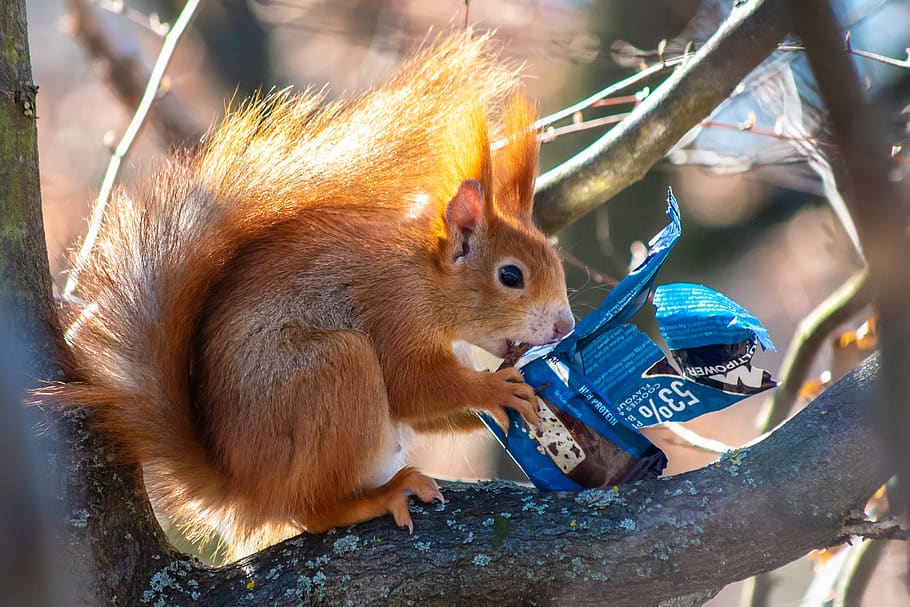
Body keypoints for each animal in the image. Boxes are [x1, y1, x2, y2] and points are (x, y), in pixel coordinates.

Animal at [54, 32, 574, 560]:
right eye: (510, 276)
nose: (566, 327)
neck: (425, 280)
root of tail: (245, 492)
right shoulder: (390, 311)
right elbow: (412, 386)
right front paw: (494, 389)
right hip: (333, 372)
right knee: (312, 510)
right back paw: (381, 496)